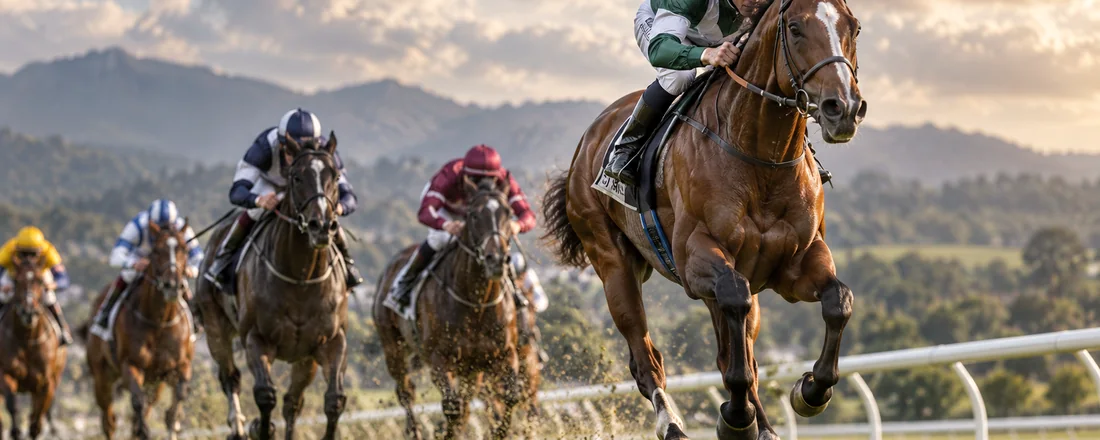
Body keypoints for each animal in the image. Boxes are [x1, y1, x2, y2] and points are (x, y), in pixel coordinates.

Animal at [0, 264, 66, 440]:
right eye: (16, 280)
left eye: (40, 281)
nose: (28, 312)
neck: (27, 339)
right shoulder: (7, 374)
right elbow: (12, 406)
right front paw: (15, 431)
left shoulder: (45, 383)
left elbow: (36, 421)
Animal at [84, 220, 196, 440]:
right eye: (156, 251)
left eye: (185, 249)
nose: (172, 285)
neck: (159, 322)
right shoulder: (131, 364)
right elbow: (137, 403)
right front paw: (143, 430)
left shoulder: (179, 366)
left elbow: (175, 405)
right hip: (102, 376)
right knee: (109, 420)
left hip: (155, 382)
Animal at [193, 134, 350, 440]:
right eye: (297, 177)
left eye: (335, 176)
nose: (321, 226)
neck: (301, 279)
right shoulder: (256, 338)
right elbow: (265, 395)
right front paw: (260, 428)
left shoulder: (330, 341)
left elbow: (333, 400)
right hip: (215, 327)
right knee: (230, 378)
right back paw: (238, 427)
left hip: (304, 359)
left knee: (292, 403)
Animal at [373, 177, 523, 440]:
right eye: (474, 215)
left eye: (508, 212)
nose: (496, 259)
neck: (476, 304)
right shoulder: (439, 358)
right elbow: (452, 406)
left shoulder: (502, 354)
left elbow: (509, 396)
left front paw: (498, 430)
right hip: (393, 347)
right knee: (406, 392)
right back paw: (415, 431)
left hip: (471, 368)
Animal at [542, 0, 865, 438]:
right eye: (796, 28)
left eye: (854, 28)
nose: (843, 108)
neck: (762, 158)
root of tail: (587, 142)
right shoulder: (695, 257)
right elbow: (733, 305)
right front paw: (736, 417)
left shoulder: (795, 263)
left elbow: (838, 300)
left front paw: (810, 390)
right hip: (611, 264)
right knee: (646, 358)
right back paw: (674, 424)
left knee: (737, 345)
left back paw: (763, 425)